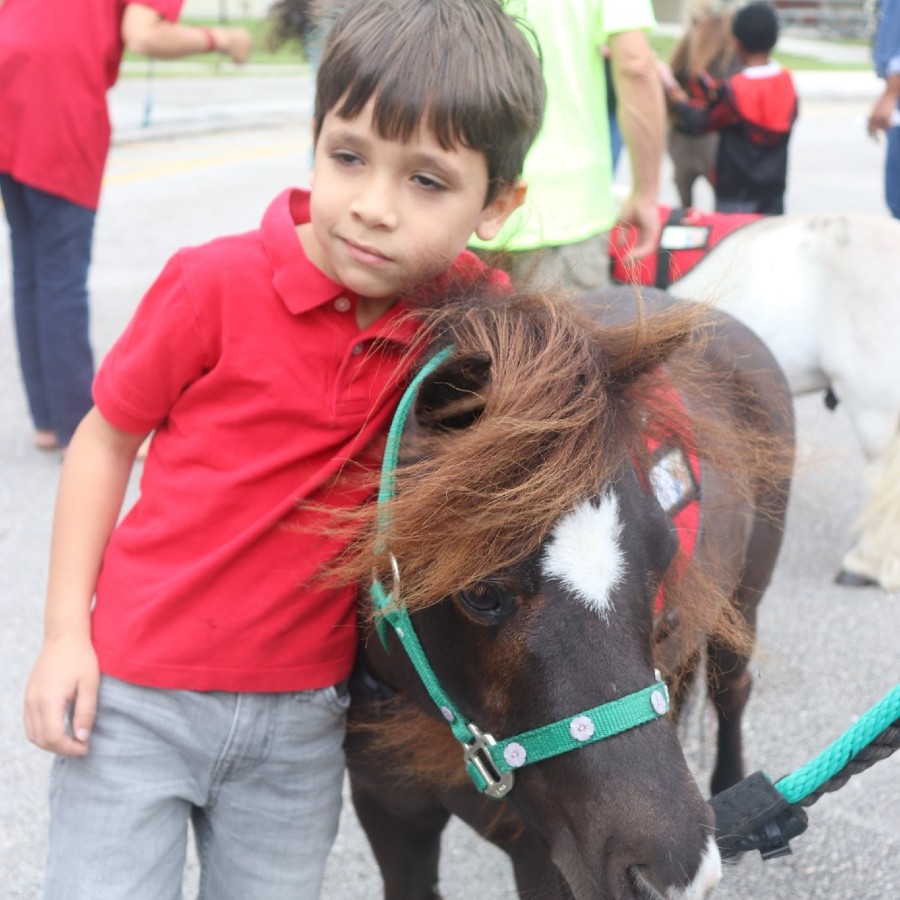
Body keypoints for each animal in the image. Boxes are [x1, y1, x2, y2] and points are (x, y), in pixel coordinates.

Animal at [340, 292, 796, 896]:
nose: (673, 873)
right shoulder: (388, 816)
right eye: (480, 591)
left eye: (663, 552)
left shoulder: (546, 862)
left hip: (741, 605)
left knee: (731, 690)